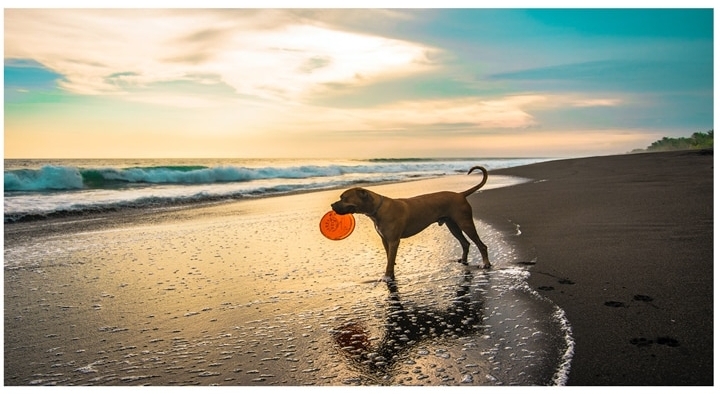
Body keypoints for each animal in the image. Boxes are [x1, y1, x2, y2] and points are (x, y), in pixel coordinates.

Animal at [330, 165, 490, 282]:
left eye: (344, 198)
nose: (332, 205)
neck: (377, 209)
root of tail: (460, 194)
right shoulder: (385, 240)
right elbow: (389, 258)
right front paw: (390, 272)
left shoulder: (394, 241)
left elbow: (390, 260)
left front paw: (387, 277)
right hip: (453, 225)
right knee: (465, 243)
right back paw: (463, 260)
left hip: (465, 223)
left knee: (481, 245)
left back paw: (486, 264)